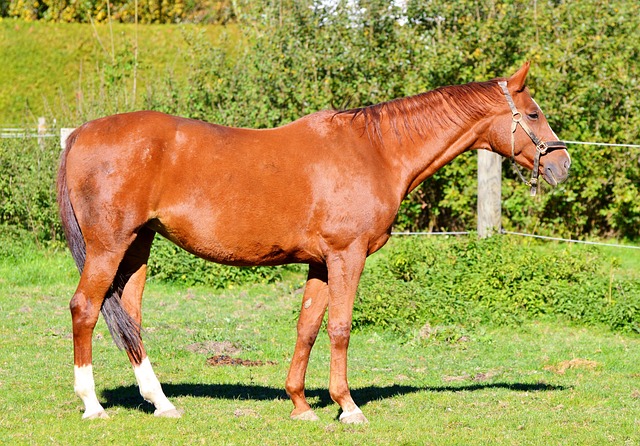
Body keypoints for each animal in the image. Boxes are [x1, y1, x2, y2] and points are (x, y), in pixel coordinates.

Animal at [57, 61, 572, 422]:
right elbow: (340, 328)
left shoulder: (320, 263)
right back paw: (93, 405)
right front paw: (349, 407)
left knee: (129, 317)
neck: (377, 151)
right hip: (109, 246)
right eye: (533, 113)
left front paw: (301, 405)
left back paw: (161, 402)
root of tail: (80, 132)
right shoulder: (348, 255)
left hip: (138, 246)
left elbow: (307, 327)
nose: (561, 164)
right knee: (85, 309)